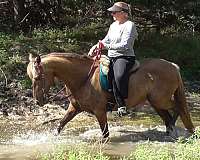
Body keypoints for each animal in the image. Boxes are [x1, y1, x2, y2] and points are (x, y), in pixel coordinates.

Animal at [27, 52, 195, 139]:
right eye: (31, 77)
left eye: (38, 77)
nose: (38, 101)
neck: (83, 78)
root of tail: (173, 66)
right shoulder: (74, 108)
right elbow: (60, 124)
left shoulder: (100, 111)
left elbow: (105, 134)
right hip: (156, 102)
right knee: (168, 115)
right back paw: (170, 130)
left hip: (160, 100)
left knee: (179, 107)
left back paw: (177, 130)